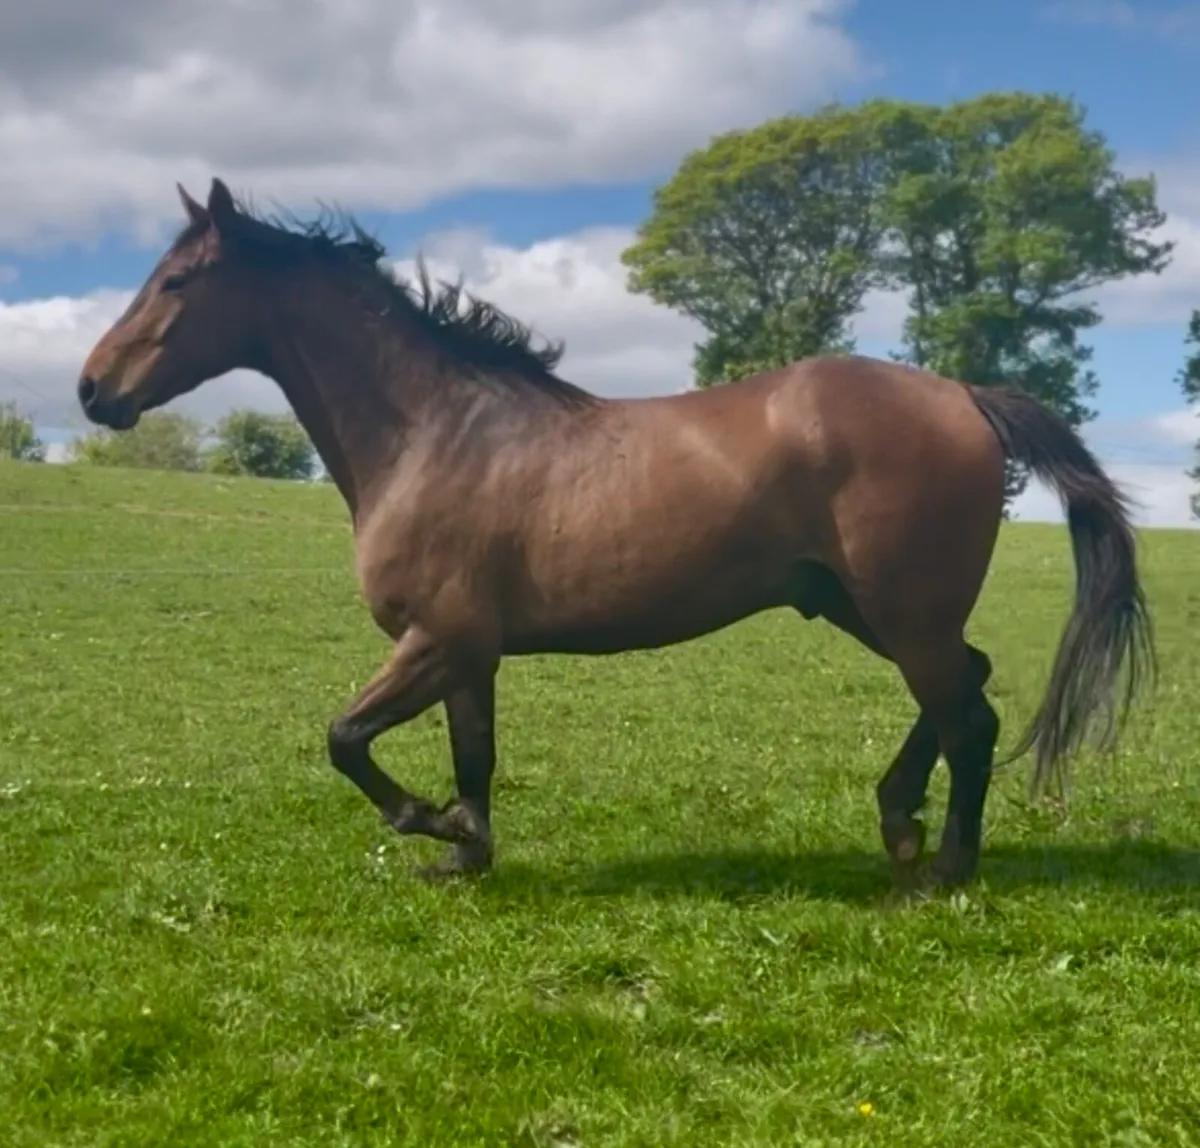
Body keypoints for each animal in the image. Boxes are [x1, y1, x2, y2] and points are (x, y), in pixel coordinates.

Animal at [76, 178, 1154, 887]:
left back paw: (942, 870)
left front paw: (425, 822)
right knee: (968, 686)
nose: (91, 388)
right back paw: (899, 824)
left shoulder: (438, 640)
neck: (433, 429)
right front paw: (465, 850)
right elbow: (475, 756)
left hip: (902, 611)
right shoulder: (467, 654)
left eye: (177, 282)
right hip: (861, 606)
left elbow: (345, 738)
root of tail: (965, 396)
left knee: (969, 716)